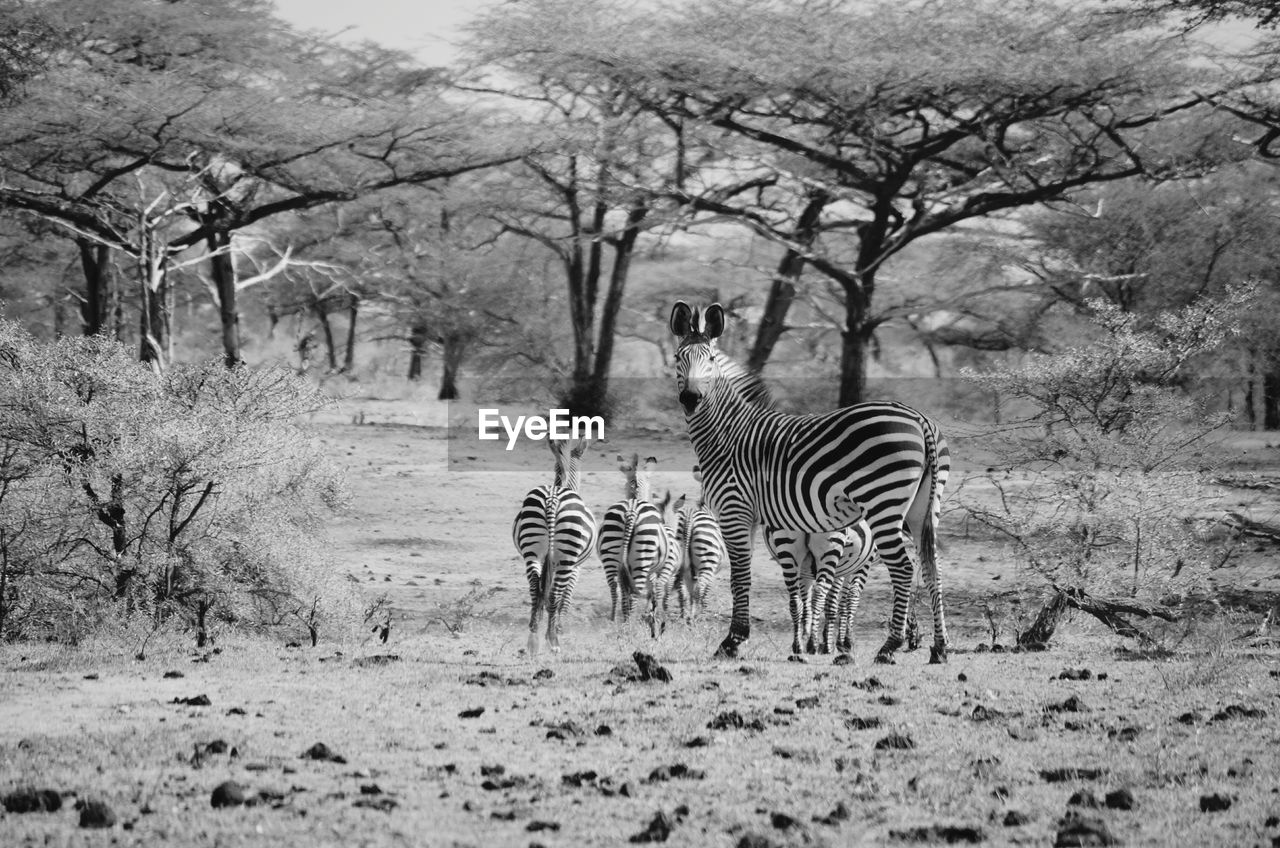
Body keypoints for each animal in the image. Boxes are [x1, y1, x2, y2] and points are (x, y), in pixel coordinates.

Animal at [509, 438, 593, 655]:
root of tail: (553, 497)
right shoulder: (576, 568)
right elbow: (565, 597)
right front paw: (558, 628)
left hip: (532, 550)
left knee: (535, 589)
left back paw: (533, 640)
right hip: (567, 557)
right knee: (554, 595)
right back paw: (553, 641)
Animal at [596, 456, 675, 635]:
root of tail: (632, 509)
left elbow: (625, 590)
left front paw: (627, 616)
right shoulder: (652, 569)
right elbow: (652, 590)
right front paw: (649, 615)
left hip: (611, 554)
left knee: (614, 587)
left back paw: (614, 619)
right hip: (642, 557)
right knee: (635, 591)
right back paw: (630, 625)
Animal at [670, 302, 952, 666]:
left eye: (712, 360)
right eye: (679, 357)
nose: (691, 398)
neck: (727, 433)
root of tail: (918, 417)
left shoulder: (734, 510)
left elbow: (740, 576)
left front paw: (732, 641)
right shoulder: (750, 517)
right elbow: (748, 577)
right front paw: (741, 638)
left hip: (883, 503)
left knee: (904, 568)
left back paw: (888, 648)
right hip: (925, 507)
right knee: (933, 568)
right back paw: (940, 648)